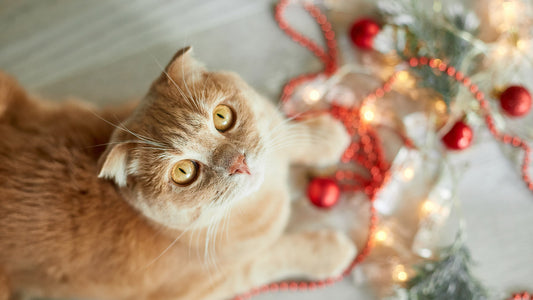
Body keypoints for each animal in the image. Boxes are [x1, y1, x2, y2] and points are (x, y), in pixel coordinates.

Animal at [1, 47, 358, 300]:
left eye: (222, 116)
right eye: (183, 171)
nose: (238, 163)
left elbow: (284, 130)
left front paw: (324, 137)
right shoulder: (216, 283)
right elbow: (274, 256)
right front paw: (329, 252)